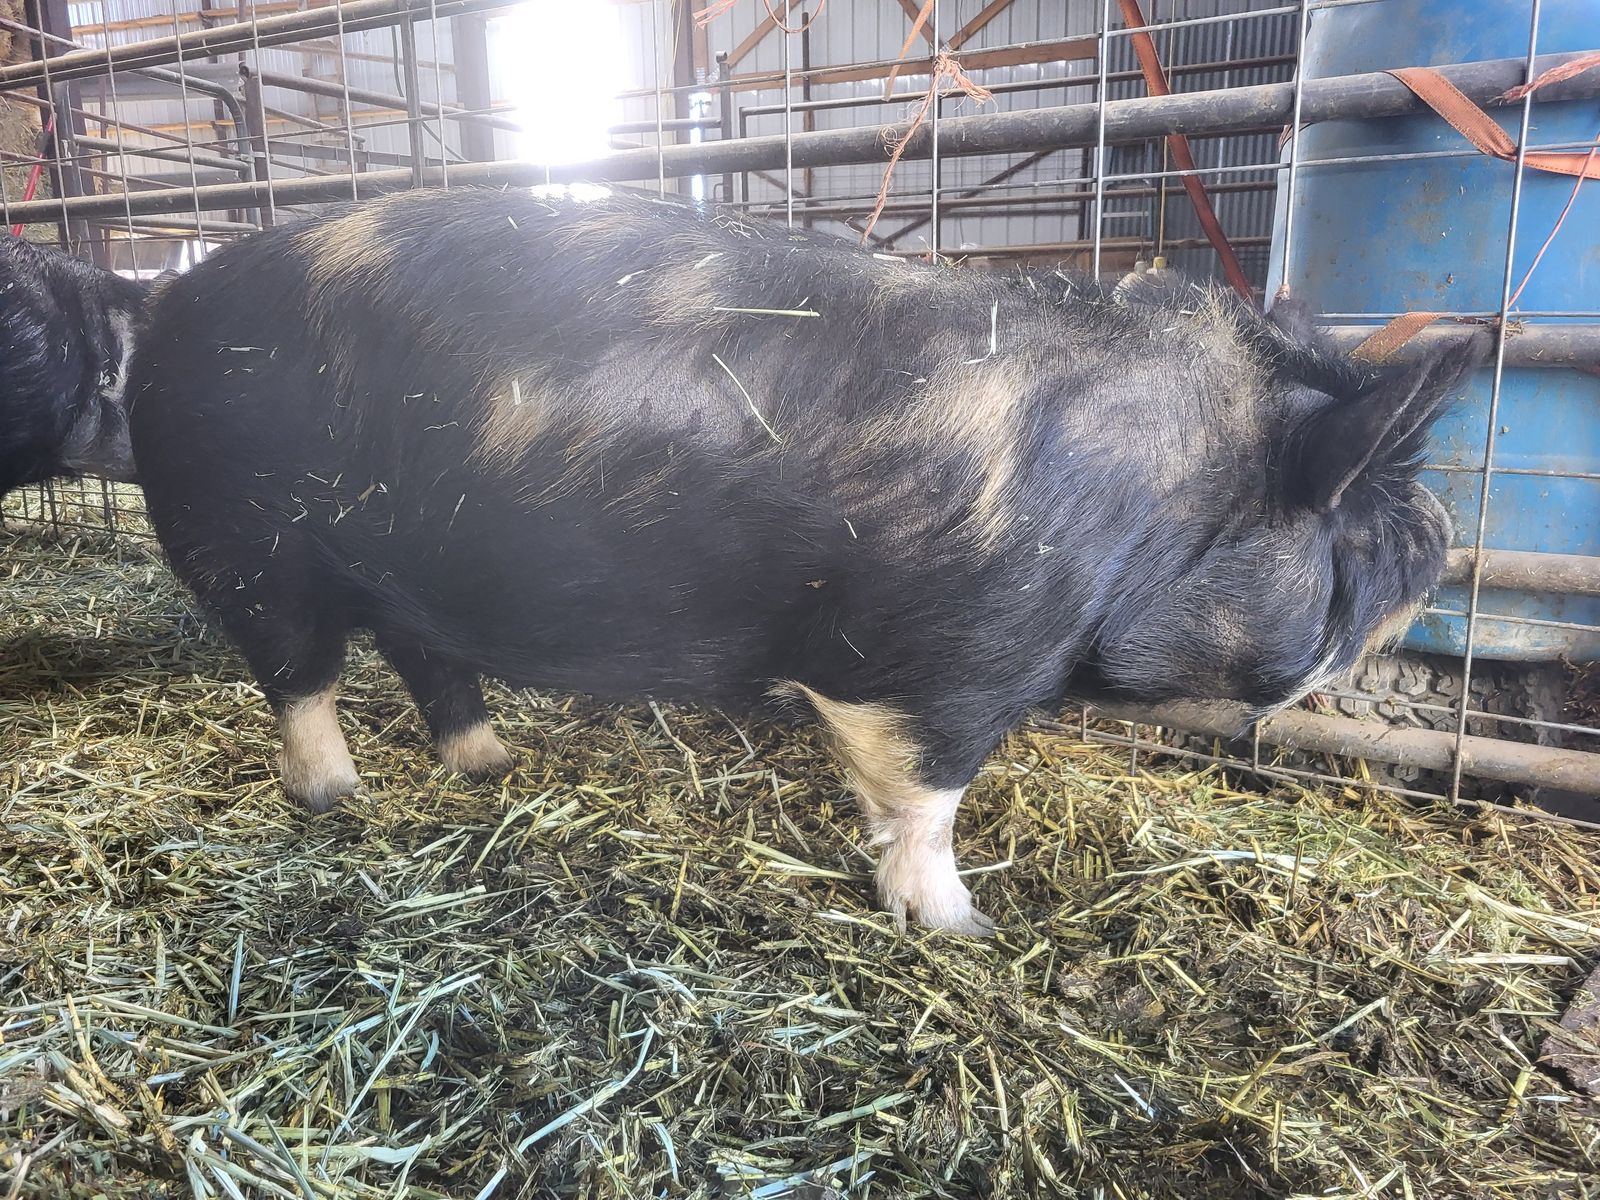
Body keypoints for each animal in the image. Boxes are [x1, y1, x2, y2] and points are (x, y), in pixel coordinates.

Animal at [124, 185, 1481, 934]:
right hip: (244, 542)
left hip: (403, 569)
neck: (1160, 502)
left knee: (424, 660)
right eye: (1365, 543)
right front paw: (962, 927)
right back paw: (337, 798)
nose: (1440, 554)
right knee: (298, 676)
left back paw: (496, 764)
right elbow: (927, 793)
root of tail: (164, 305)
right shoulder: (955, 659)